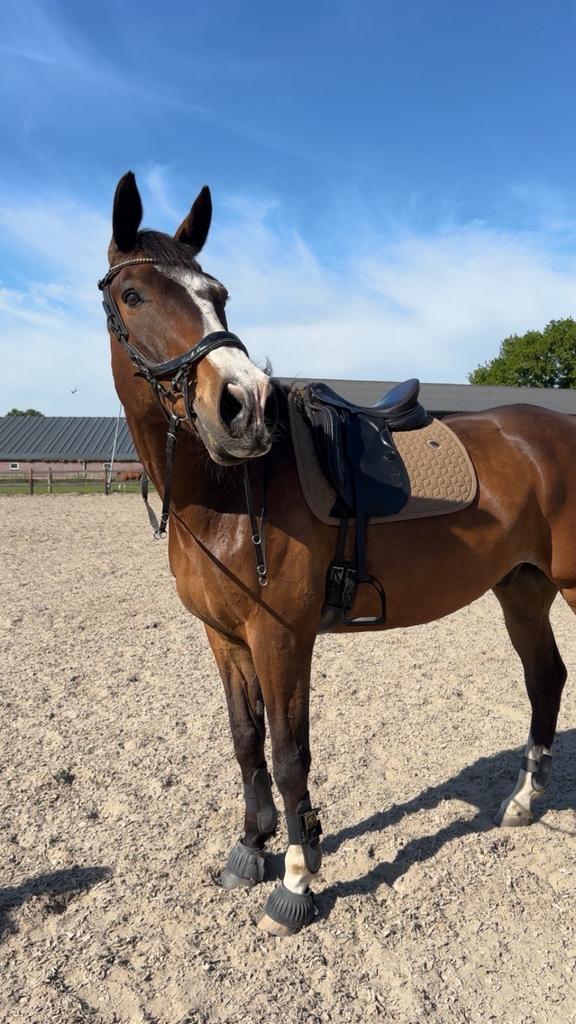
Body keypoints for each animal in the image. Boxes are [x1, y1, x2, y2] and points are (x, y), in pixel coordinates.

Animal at [101, 171, 576, 936]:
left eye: (218, 295)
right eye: (134, 295)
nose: (240, 406)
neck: (231, 491)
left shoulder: (282, 637)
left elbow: (290, 754)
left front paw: (296, 880)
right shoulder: (224, 637)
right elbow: (246, 739)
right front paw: (252, 847)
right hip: (522, 589)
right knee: (546, 679)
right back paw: (525, 802)